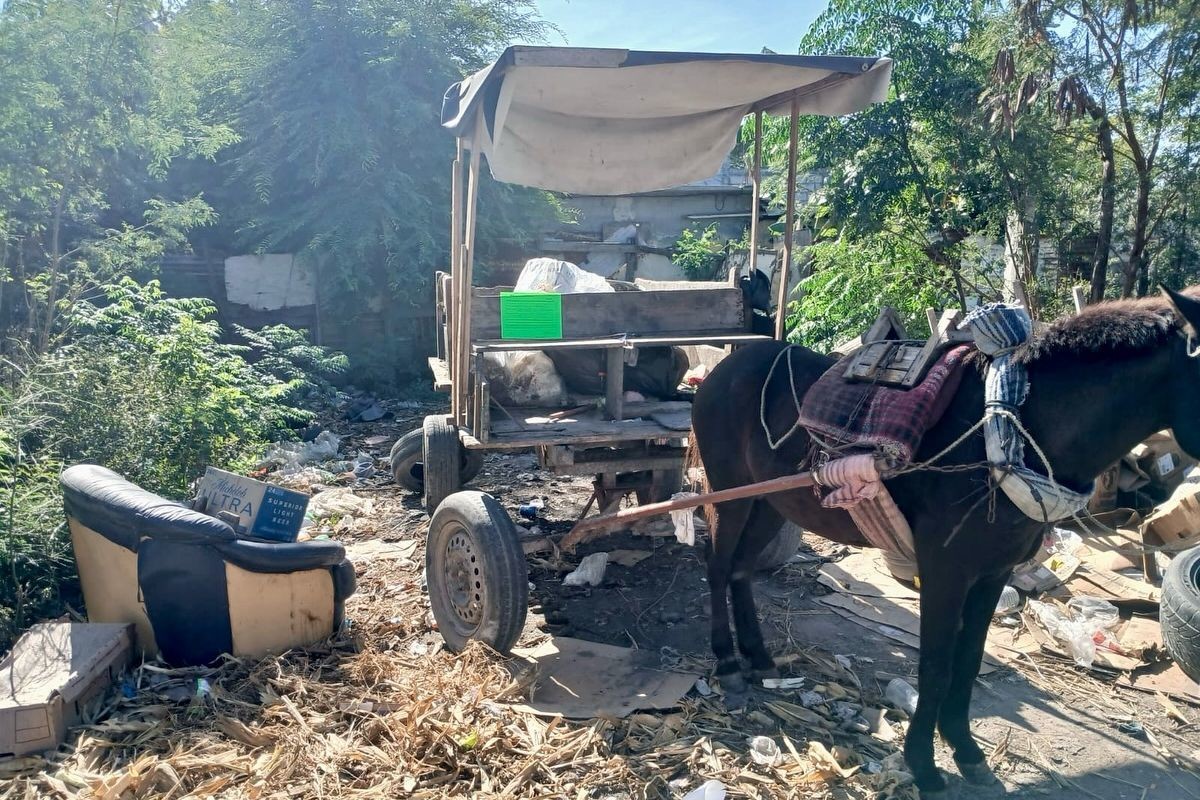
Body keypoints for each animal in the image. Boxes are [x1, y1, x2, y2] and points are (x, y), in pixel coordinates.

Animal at [691, 287, 1200, 796]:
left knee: (740, 570)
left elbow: (968, 661)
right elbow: (935, 667)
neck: (1011, 427)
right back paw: (729, 663)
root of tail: (723, 368)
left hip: (770, 503)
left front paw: (966, 750)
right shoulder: (944, 571)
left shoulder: (994, 571)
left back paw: (757, 656)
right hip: (730, 495)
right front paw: (923, 763)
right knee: (717, 567)